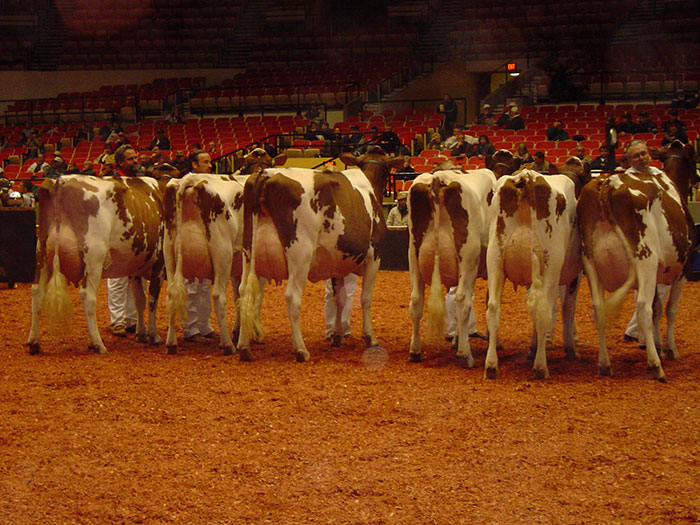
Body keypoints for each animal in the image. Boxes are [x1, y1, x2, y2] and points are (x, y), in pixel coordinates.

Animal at [26, 175, 166, 352]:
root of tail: (60, 180)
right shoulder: (159, 264)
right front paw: (153, 335)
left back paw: (34, 342)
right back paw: (97, 344)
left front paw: (141, 334)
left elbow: (140, 300)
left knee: (37, 291)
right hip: (94, 255)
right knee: (88, 295)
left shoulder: (135, 268)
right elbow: (153, 300)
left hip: (42, 254)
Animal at [237, 145, 402, 362]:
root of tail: (265, 173)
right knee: (292, 296)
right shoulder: (375, 256)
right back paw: (301, 350)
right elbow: (365, 299)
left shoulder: (338, 263)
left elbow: (339, 299)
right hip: (300, 253)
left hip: (248, 252)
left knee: (243, 292)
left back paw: (243, 347)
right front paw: (370, 338)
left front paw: (338, 337)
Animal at [404, 166, 498, 366]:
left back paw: (415, 351)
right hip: (469, 256)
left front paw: (456, 340)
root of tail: (439, 178)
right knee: (462, 300)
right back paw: (465, 355)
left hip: (413, 255)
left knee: (416, 300)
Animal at [484, 158, 588, 378]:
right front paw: (571, 349)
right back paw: (541, 367)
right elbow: (567, 309)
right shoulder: (574, 276)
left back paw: (491, 366)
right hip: (549, 264)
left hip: (495, 258)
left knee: (494, 308)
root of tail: (528, 177)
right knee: (544, 309)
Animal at [576, 137, 696, 378]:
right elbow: (669, 310)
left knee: (599, 309)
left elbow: (658, 308)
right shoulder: (683, 269)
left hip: (590, 261)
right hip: (644, 258)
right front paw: (670, 349)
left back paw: (605, 364)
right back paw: (655, 366)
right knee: (643, 308)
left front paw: (659, 345)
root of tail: (607, 182)